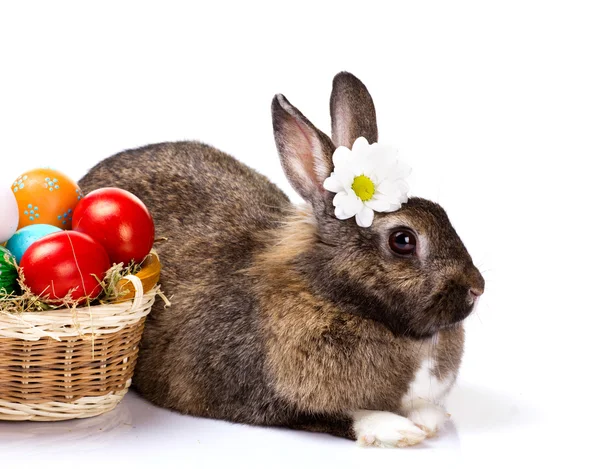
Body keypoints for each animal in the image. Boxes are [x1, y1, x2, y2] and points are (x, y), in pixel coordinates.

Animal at [78, 70, 482, 446]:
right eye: (403, 240)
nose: (477, 288)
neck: (334, 295)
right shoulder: (265, 398)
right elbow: (342, 414)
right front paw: (398, 430)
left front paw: (429, 419)